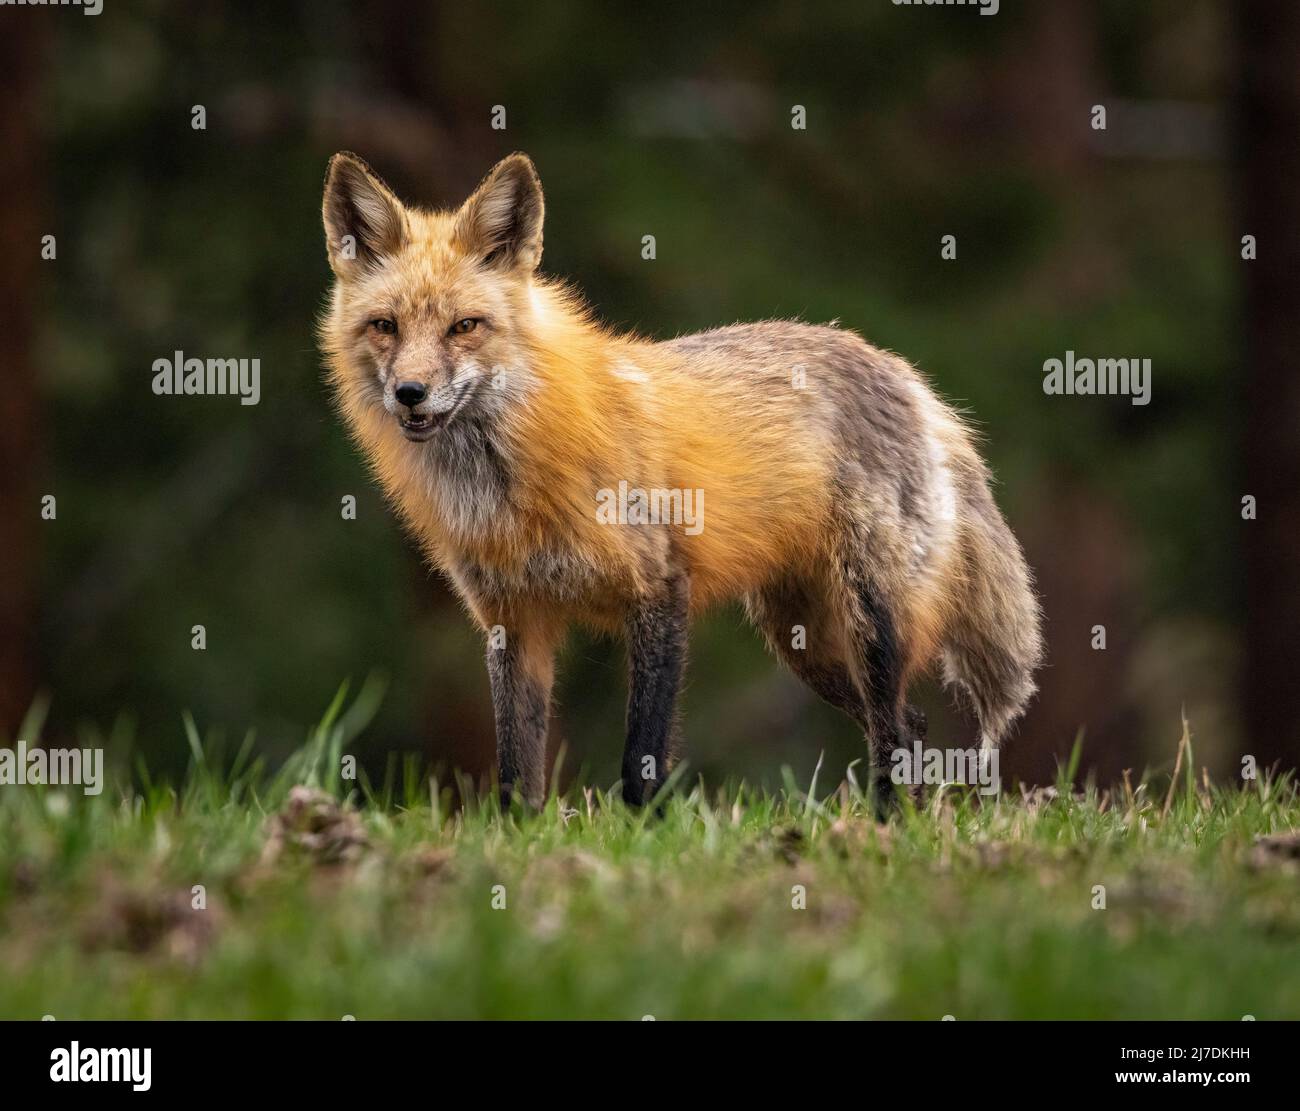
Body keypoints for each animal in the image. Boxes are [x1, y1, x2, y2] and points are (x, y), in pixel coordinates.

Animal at [322, 152, 1045, 810]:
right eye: (385, 326)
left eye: (464, 326)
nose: (409, 394)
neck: (503, 484)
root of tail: (903, 371)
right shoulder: (514, 622)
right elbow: (514, 773)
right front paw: (517, 842)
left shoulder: (660, 589)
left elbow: (641, 755)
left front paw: (640, 837)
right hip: (803, 641)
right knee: (908, 723)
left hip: (871, 621)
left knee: (895, 727)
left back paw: (888, 827)